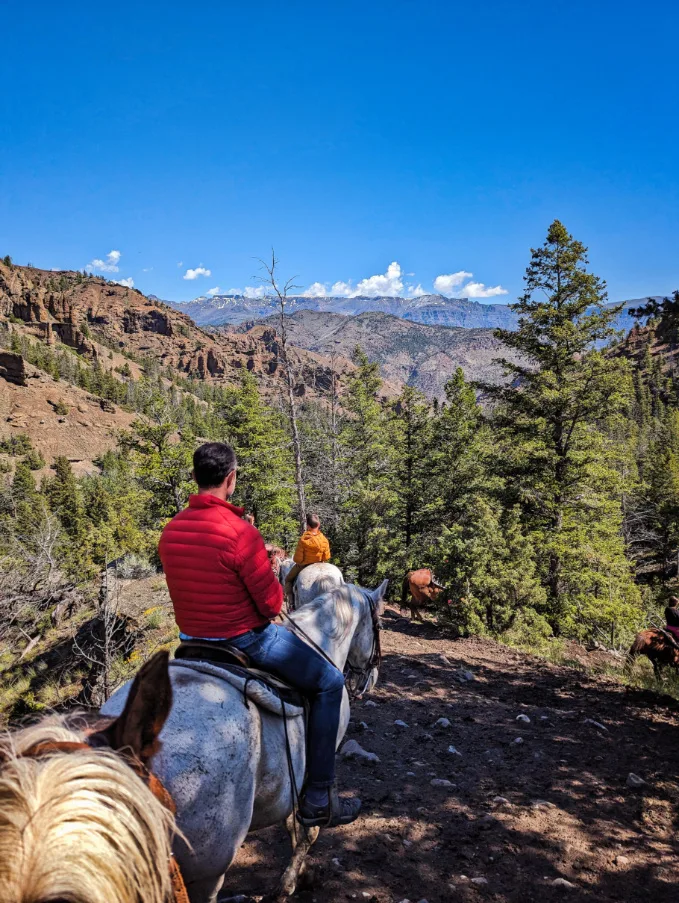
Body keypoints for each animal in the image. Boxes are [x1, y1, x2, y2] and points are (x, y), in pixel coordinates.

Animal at [101, 580, 388, 903]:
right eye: (378, 625)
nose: (371, 680)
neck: (322, 641)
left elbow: (291, 823)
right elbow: (309, 828)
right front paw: (290, 883)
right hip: (208, 868)